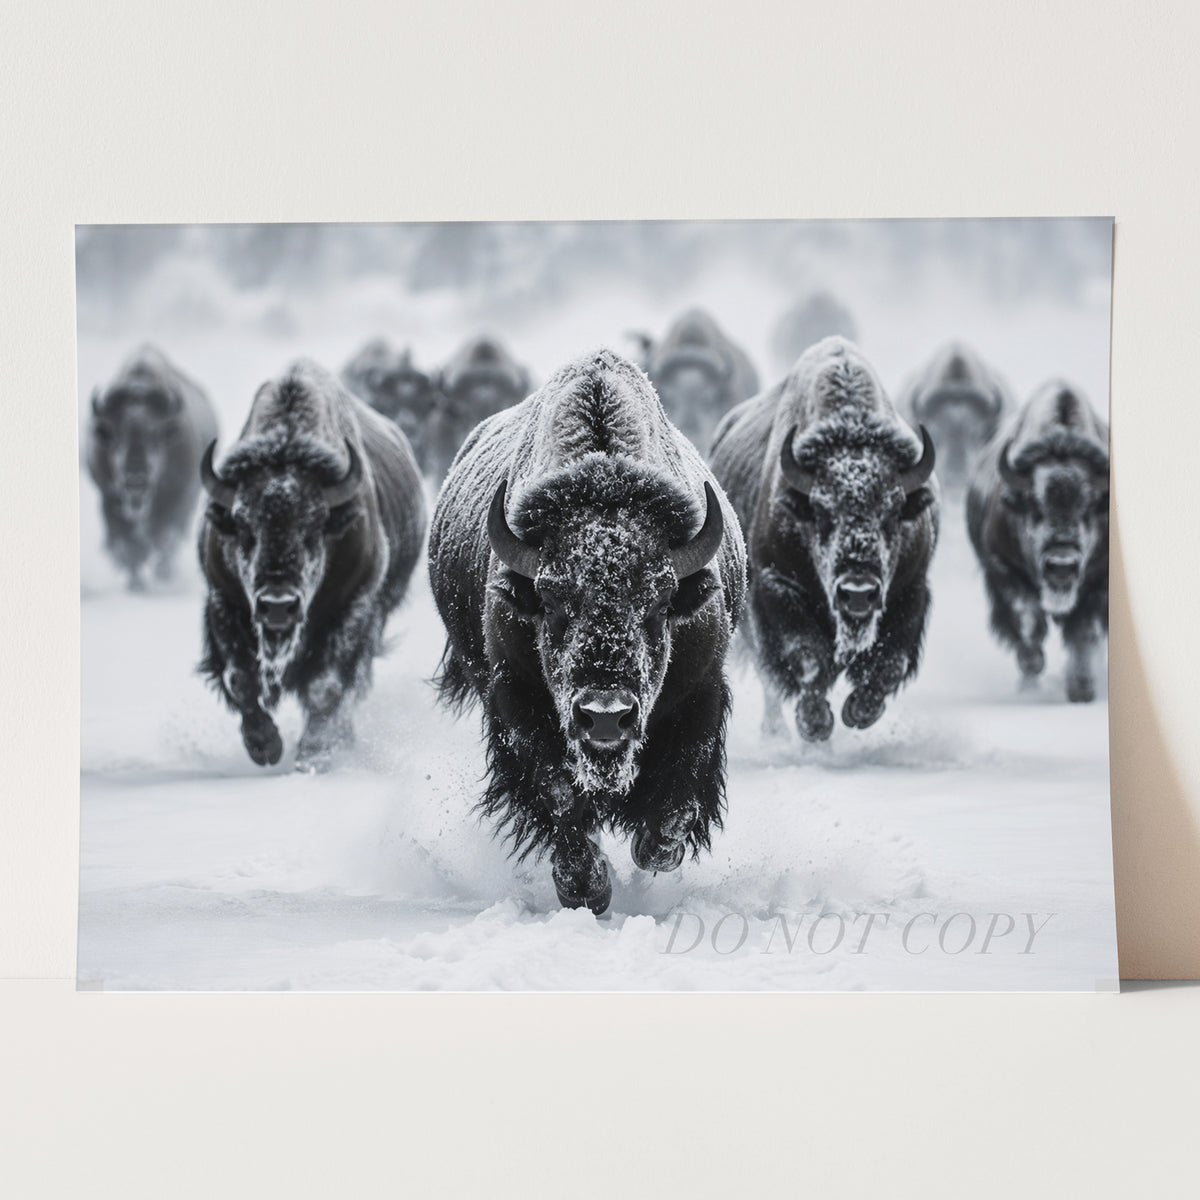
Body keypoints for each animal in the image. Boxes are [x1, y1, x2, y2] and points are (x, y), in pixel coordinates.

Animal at [86, 345, 218, 589]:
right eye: (115, 437)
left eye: (155, 437)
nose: (135, 479)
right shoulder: (108, 497)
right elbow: (127, 542)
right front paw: (135, 580)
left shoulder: (177, 495)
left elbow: (162, 535)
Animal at [199, 360, 427, 771]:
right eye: (242, 526)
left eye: (315, 525)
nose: (277, 605)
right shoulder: (222, 601)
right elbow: (240, 678)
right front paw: (265, 747)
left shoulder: (354, 607)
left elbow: (327, 684)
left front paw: (314, 754)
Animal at [428, 349, 746, 914]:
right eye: (553, 601)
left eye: (660, 602)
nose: (605, 716)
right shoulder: (515, 700)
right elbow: (557, 794)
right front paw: (588, 890)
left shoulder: (702, 694)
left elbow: (676, 804)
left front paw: (650, 854)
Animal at [711, 336, 939, 741]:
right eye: (820, 511)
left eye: (894, 510)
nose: (858, 592)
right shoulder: (776, 588)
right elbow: (807, 658)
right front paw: (816, 725)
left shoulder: (912, 589)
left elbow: (890, 664)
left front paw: (858, 712)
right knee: (771, 680)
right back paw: (777, 731)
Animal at [966, 380, 1109, 702]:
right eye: (1034, 506)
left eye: (1089, 508)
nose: (1061, 566)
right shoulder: (1003, 570)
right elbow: (1028, 624)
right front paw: (1033, 671)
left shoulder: (1099, 582)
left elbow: (1084, 632)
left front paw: (1082, 688)